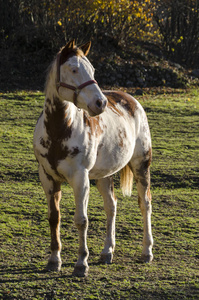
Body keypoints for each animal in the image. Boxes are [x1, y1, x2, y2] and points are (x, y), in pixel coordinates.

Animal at [33, 39, 153, 276]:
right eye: (74, 69)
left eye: (93, 70)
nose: (101, 103)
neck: (60, 131)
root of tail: (131, 100)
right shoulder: (48, 178)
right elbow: (54, 218)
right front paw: (54, 260)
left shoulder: (81, 179)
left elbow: (81, 220)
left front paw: (81, 263)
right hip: (104, 175)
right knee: (111, 206)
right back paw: (107, 252)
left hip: (141, 165)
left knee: (145, 204)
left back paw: (147, 251)